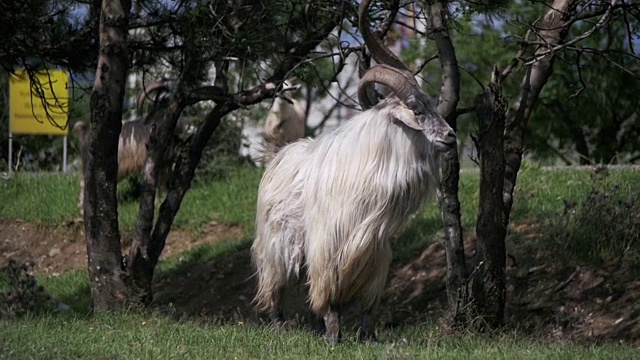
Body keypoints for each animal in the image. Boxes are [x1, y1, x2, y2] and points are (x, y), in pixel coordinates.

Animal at [250, 0, 456, 346]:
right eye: (417, 110)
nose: (451, 136)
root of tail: (277, 156)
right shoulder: (329, 248)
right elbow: (328, 297)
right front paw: (334, 337)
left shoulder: (376, 252)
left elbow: (367, 304)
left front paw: (367, 337)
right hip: (278, 245)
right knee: (276, 285)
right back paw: (280, 326)